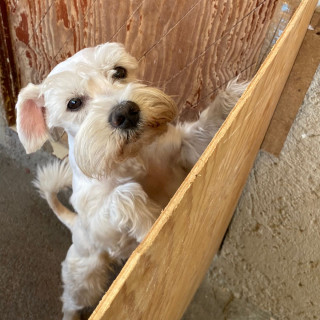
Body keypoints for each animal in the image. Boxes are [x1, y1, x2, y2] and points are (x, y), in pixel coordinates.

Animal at [15, 42, 248, 320]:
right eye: (73, 103)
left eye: (119, 71)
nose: (125, 112)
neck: (133, 157)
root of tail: (73, 225)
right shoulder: (103, 226)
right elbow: (124, 194)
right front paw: (151, 222)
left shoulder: (184, 151)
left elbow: (202, 130)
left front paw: (235, 94)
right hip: (83, 276)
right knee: (72, 302)